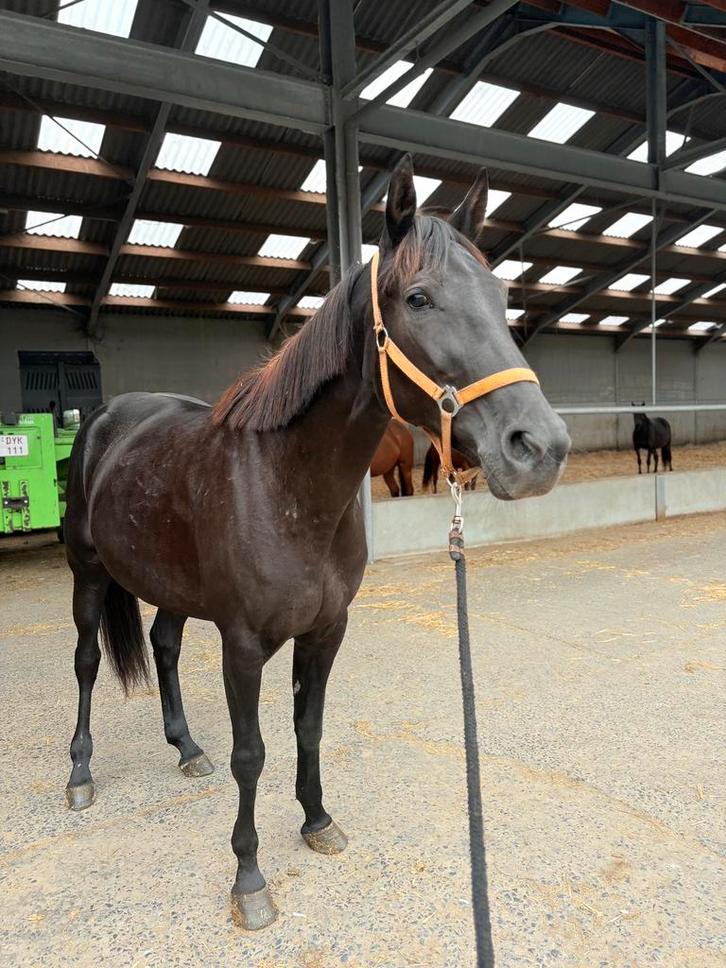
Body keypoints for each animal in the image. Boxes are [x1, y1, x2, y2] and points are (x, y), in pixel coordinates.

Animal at [62, 155, 570, 931]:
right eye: (418, 298)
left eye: (501, 294)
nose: (539, 448)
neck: (285, 484)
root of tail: (106, 417)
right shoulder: (243, 645)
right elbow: (252, 753)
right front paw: (248, 878)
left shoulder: (327, 630)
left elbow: (308, 728)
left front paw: (317, 820)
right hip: (88, 576)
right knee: (89, 663)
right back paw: (81, 771)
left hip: (172, 586)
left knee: (165, 647)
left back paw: (186, 747)